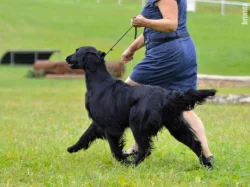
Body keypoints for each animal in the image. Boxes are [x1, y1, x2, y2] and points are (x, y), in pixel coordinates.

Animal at [65, 46, 216, 167]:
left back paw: (132, 164)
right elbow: (85, 135)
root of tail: (166, 96)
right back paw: (207, 165)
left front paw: (124, 160)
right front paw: (72, 148)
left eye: (77, 51)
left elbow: (115, 151)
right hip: (176, 126)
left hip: (138, 125)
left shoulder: (111, 127)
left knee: (145, 150)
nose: (67, 58)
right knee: (195, 143)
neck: (99, 82)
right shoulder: (98, 122)